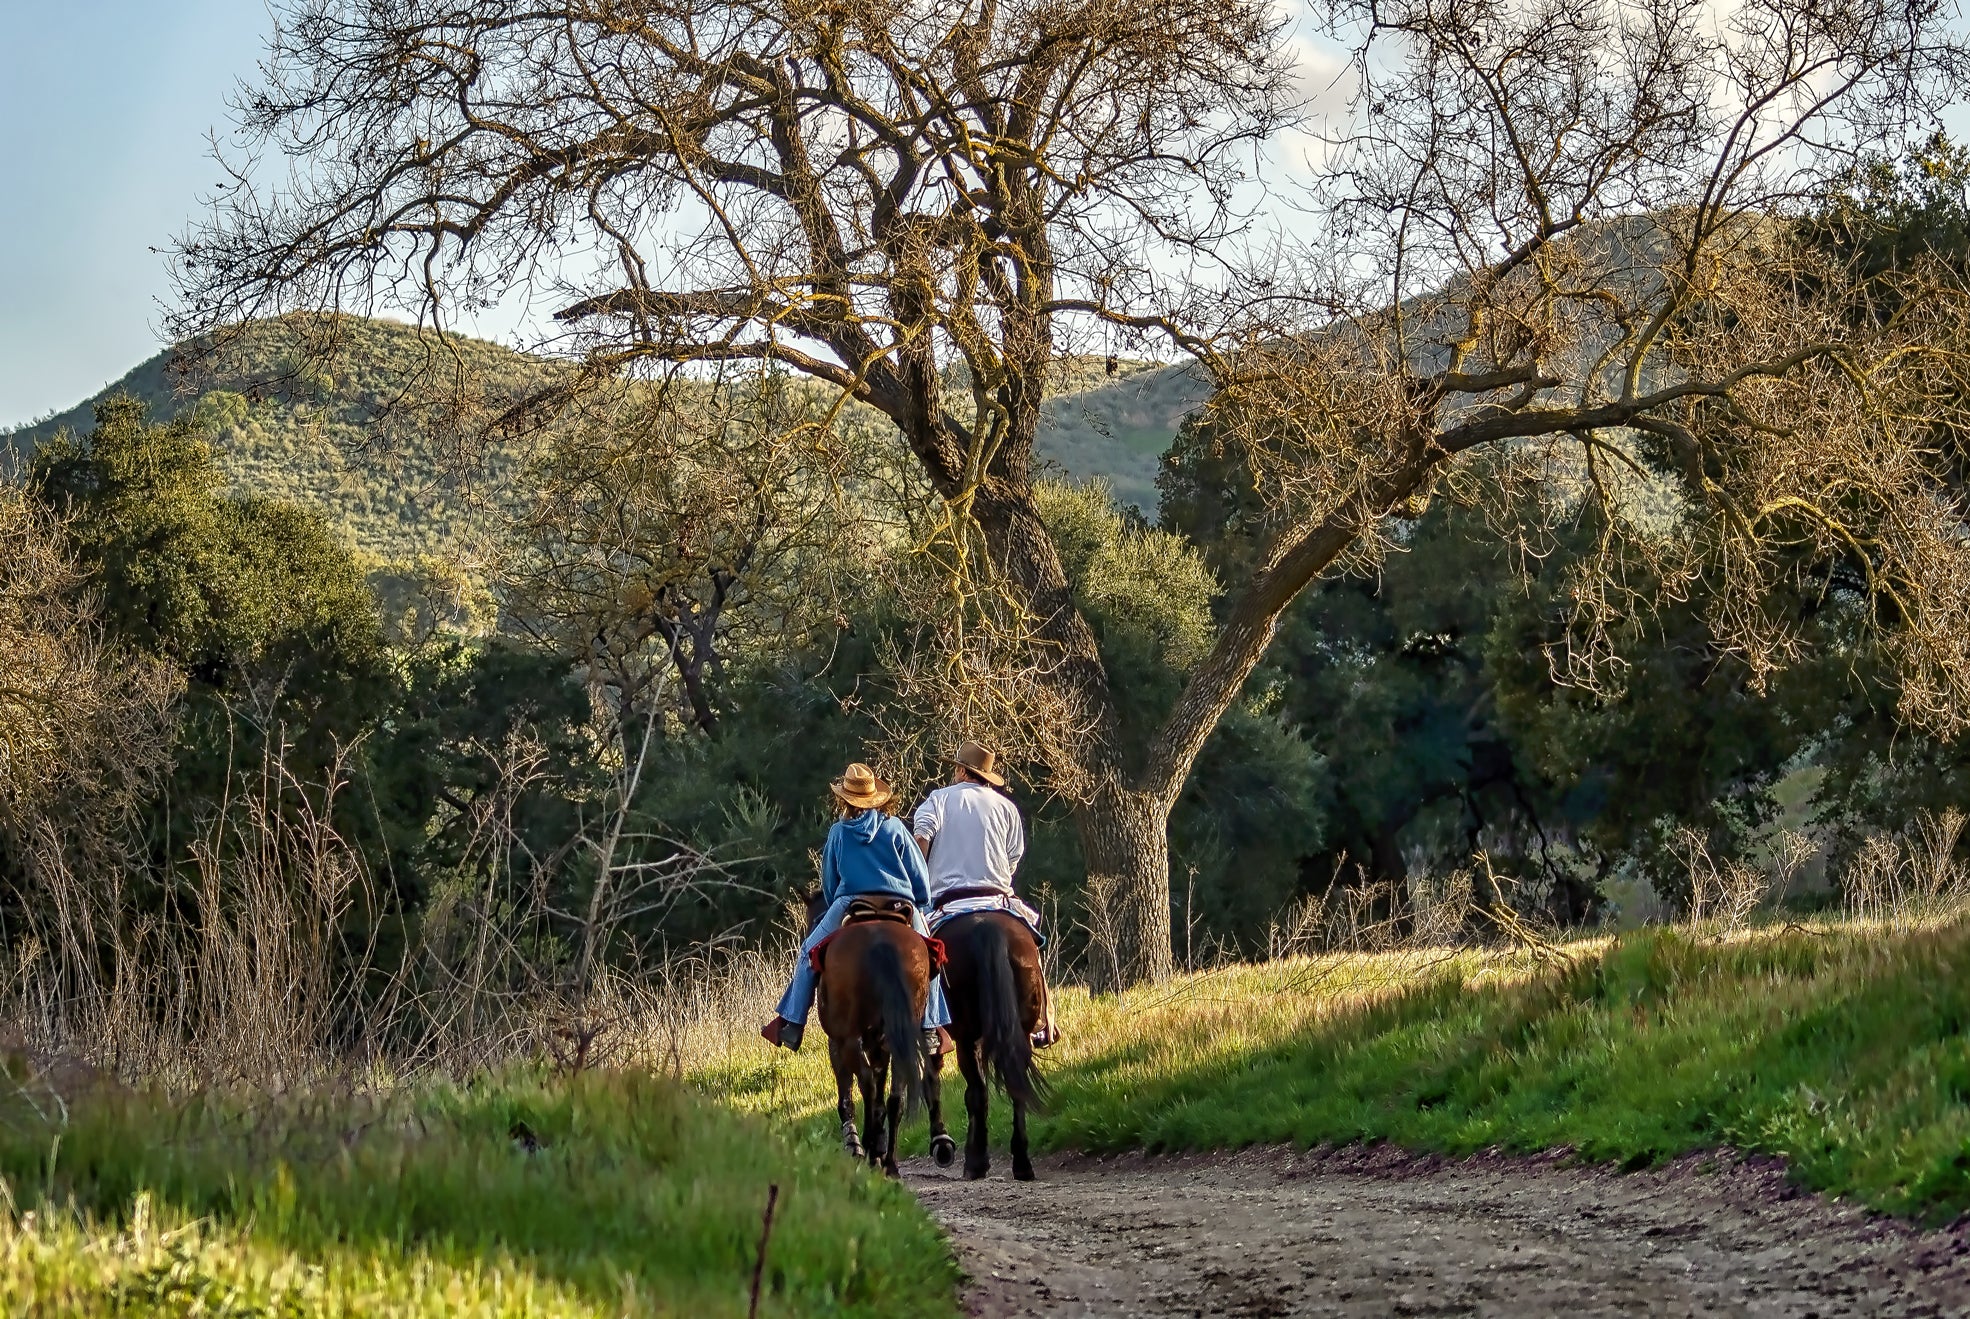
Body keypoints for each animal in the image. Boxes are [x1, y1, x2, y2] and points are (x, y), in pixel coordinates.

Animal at [803, 893, 933, 1181]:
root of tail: (880, 942)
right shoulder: (879, 1045)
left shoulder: (836, 1044)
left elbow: (847, 1096)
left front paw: (856, 1144)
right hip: (898, 1035)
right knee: (895, 1096)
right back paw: (889, 1162)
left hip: (850, 1039)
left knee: (867, 1084)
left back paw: (871, 1152)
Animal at [921, 913, 1048, 1181]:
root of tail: (988, 929)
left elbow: (931, 1082)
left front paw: (942, 1144)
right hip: (1017, 1032)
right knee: (1016, 1087)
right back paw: (1022, 1163)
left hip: (967, 1039)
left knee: (977, 1093)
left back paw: (975, 1162)